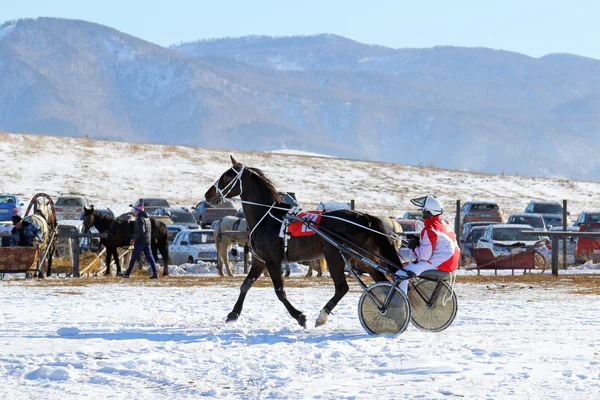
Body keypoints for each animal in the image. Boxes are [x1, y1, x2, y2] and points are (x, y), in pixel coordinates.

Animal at [204, 156, 400, 328]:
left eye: (226, 176)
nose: (208, 194)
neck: (268, 217)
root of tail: (364, 217)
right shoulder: (260, 260)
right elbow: (245, 285)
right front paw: (233, 314)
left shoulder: (273, 261)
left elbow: (280, 291)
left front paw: (300, 317)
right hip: (363, 258)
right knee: (382, 281)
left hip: (336, 256)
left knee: (342, 287)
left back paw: (322, 316)